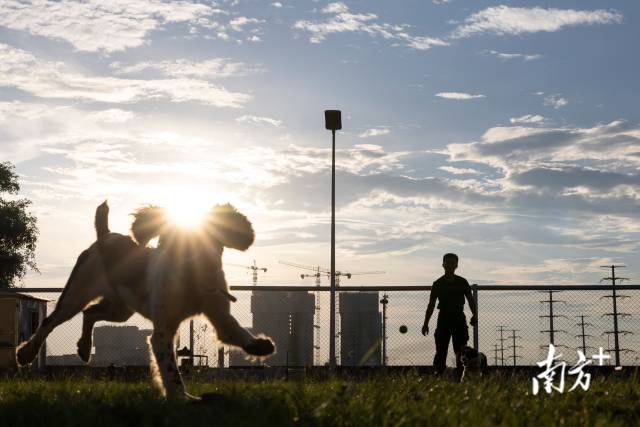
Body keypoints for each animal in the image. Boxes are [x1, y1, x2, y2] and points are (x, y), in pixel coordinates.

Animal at [17, 202, 276, 400]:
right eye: (167, 242)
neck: (192, 282)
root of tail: (105, 236)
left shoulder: (219, 315)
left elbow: (235, 333)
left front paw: (261, 345)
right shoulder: (163, 331)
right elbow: (170, 370)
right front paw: (181, 399)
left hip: (120, 309)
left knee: (90, 313)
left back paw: (84, 347)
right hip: (76, 294)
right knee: (50, 321)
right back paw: (27, 353)